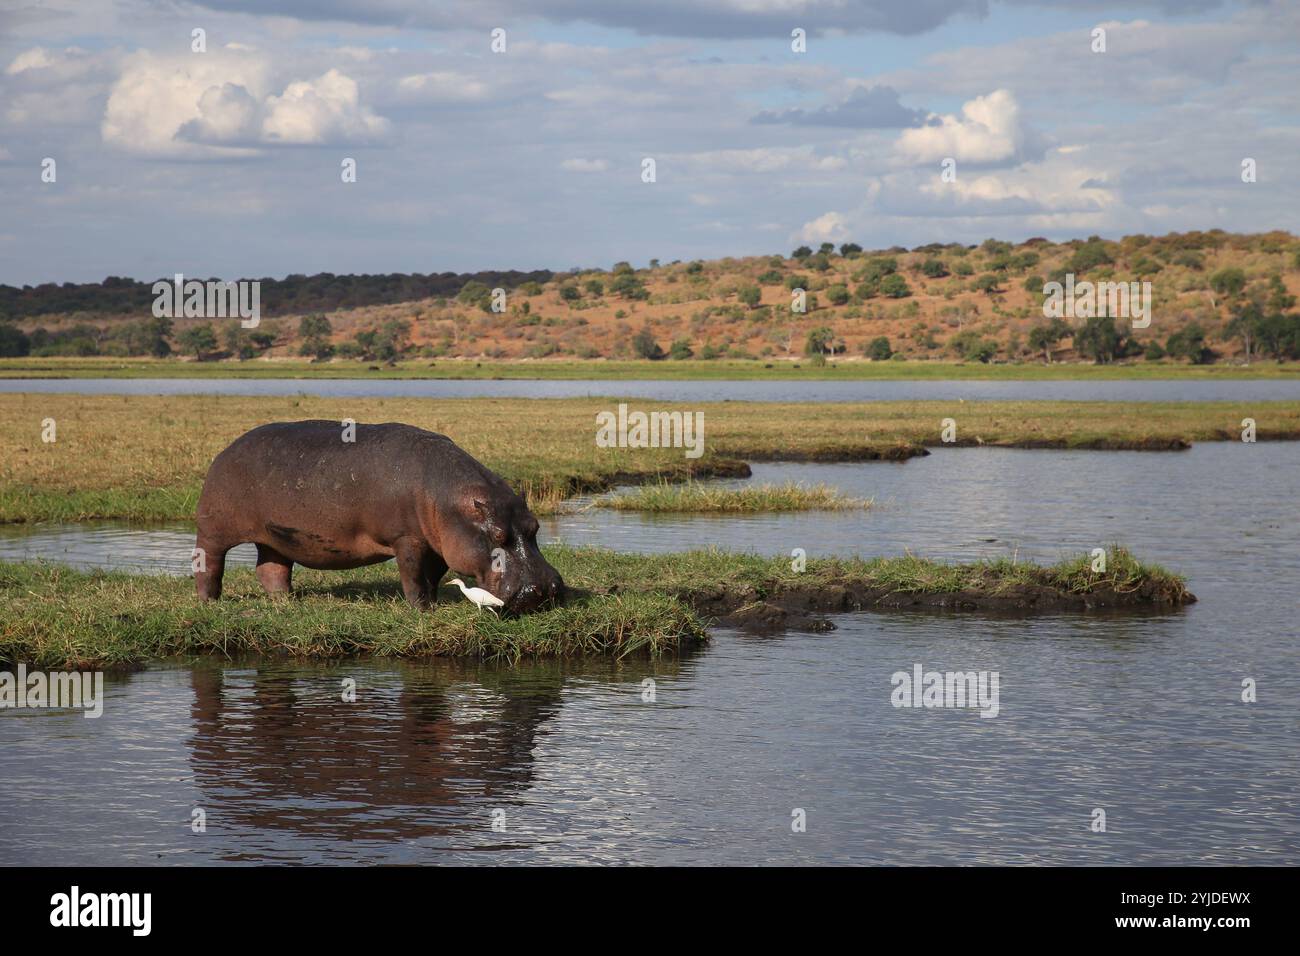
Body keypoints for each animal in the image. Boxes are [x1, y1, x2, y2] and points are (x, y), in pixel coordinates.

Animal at [194, 421, 564, 613]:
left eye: (535, 527)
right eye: (498, 536)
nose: (546, 589)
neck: (446, 498)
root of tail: (224, 451)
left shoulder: (437, 543)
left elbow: (432, 575)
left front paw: (432, 603)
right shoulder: (408, 540)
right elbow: (412, 576)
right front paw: (421, 609)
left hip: (277, 537)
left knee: (272, 570)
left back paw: (287, 602)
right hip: (214, 530)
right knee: (209, 563)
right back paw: (209, 602)